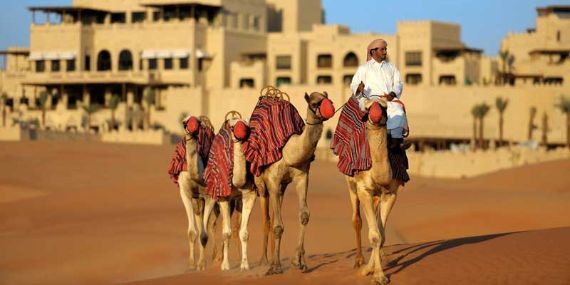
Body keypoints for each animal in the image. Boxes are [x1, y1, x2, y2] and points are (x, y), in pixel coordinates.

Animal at [176, 114, 221, 270]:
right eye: (185, 123)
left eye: (198, 122)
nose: (193, 129)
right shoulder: (185, 193)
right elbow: (192, 232)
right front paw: (191, 264)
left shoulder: (211, 197)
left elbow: (204, 235)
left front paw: (201, 265)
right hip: (197, 200)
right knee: (203, 220)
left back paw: (218, 258)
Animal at [200, 111, 253, 270]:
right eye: (232, 126)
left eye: (246, 125)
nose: (241, 133)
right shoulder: (223, 197)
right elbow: (226, 233)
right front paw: (225, 266)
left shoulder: (249, 194)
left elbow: (244, 233)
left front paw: (244, 264)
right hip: (211, 193)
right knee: (207, 225)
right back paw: (205, 263)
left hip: (235, 202)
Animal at [253, 90, 332, 272]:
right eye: (314, 103)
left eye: (327, 99)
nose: (329, 109)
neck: (288, 152)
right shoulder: (273, 180)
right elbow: (277, 225)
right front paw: (276, 267)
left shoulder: (301, 177)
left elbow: (304, 215)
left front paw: (298, 261)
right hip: (261, 185)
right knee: (267, 220)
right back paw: (264, 262)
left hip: (281, 188)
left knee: (274, 216)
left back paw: (273, 259)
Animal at [344, 96, 402, 282]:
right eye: (368, 108)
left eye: (384, 107)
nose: (376, 116)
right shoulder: (364, 190)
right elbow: (375, 235)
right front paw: (374, 273)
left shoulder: (390, 193)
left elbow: (380, 235)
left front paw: (376, 272)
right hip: (351, 185)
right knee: (357, 219)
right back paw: (359, 261)